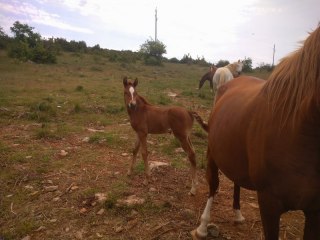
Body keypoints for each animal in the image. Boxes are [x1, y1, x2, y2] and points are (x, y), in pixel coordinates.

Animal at [192, 25, 320, 238]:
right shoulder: (269, 204)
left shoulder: (314, 211)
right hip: (214, 154)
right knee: (213, 185)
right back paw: (203, 226)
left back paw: (237, 215)